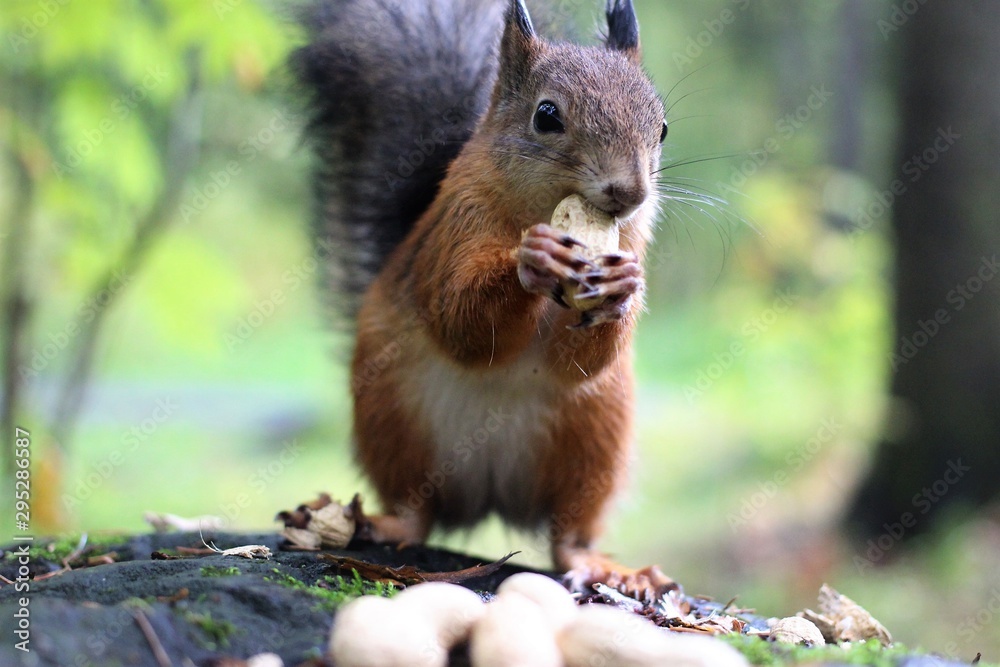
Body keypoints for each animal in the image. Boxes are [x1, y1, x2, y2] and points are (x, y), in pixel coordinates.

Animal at [292, 0, 669, 589]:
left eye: (663, 128)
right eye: (546, 116)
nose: (630, 193)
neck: (537, 208)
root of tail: (490, 496)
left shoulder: (630, 241)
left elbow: (580, 362)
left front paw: (623, 289)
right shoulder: (456, 228)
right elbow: (461, 322)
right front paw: (530, 261)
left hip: (594, 438)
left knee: (568, 533)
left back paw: (603, 566)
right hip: (393, 420)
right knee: (416, 510)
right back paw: (380, 523)